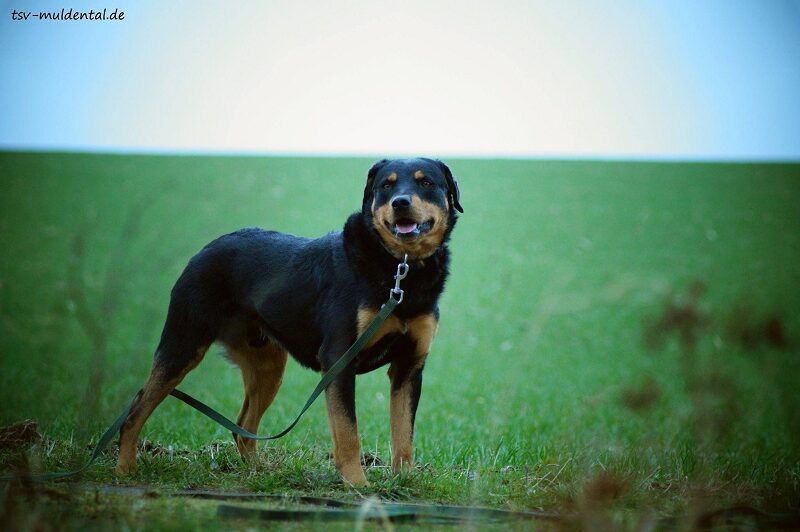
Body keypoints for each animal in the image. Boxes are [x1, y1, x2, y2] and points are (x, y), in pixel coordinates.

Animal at [115, 158, 463, 485]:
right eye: (386, 186)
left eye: (426, 182)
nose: (400, 202)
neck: (399, 270)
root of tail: (205, 249)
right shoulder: (339, 359)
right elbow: (348, 433)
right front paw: (357, 484)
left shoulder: (409, 366)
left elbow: (403, 435)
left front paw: (403, 480)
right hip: (183, 345)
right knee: (135, 411)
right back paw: (125, 469)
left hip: (267, 365)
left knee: (243, 427)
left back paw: (259, 471)